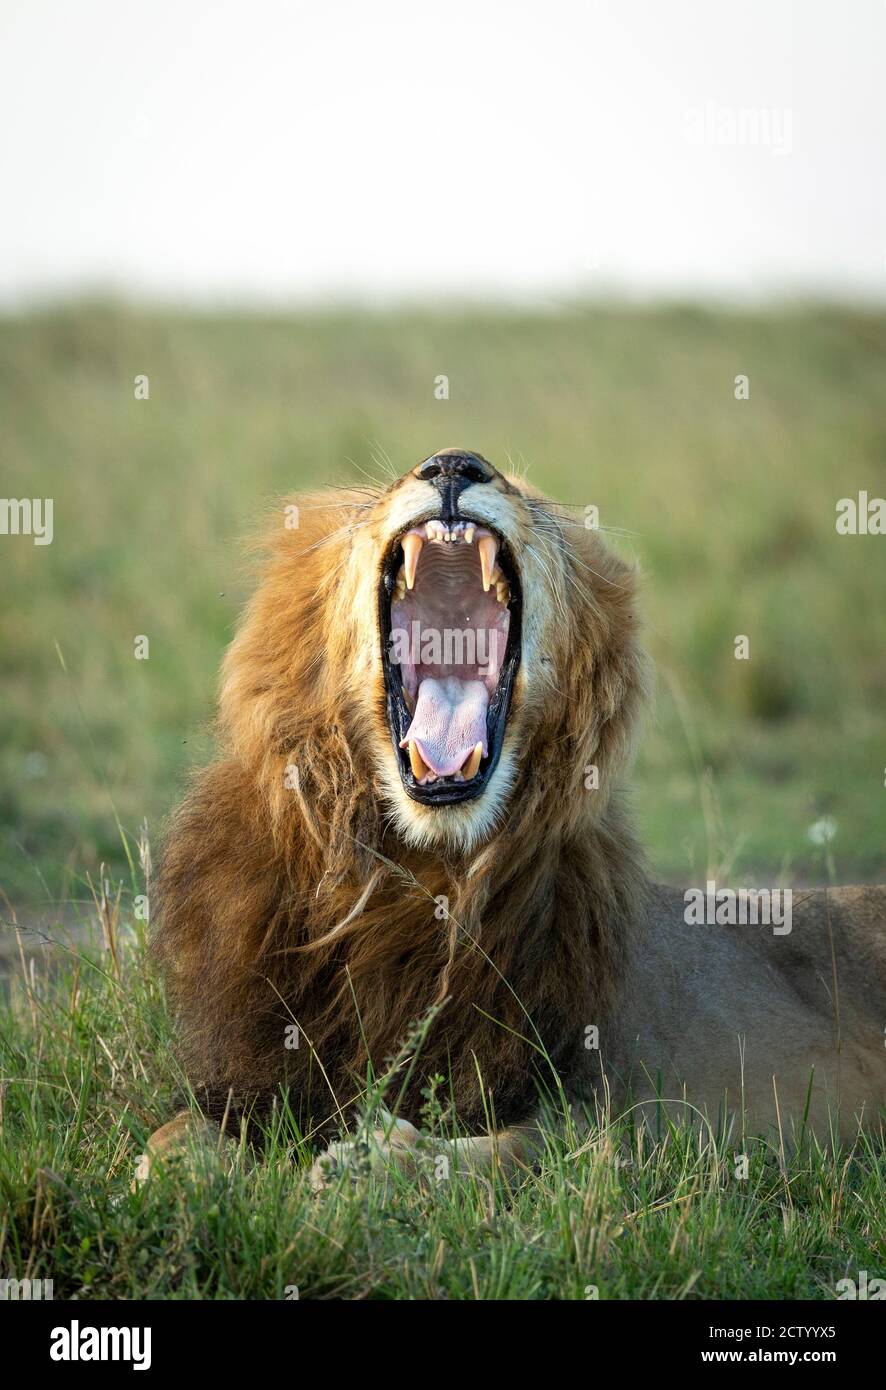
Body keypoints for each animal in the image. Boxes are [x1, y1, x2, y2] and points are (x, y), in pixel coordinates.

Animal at [145, 448, 886, 1185]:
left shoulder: (629, 1117)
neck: (419, 877)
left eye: (531, 499)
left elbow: (519, 1152)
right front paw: (196, 1177)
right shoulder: (254, 1075)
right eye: (385, 490)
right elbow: (172, 1136)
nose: (452, 463)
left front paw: (375, 1164)